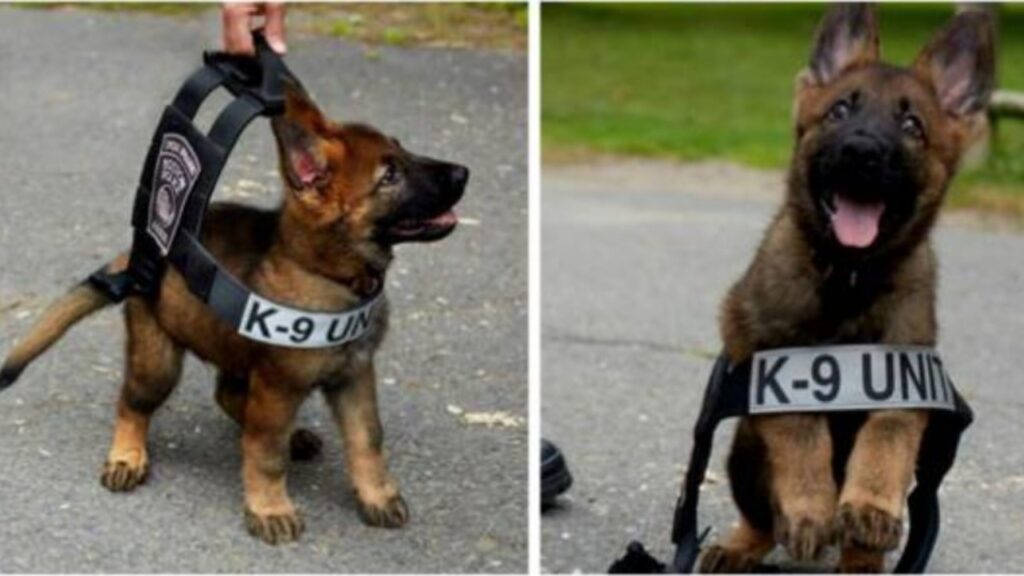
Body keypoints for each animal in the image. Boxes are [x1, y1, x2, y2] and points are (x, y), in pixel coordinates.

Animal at [0, 81, 468, 541]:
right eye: (389, 176)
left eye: (403, 151)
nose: (463, 172)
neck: (327, 274)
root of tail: (136, 256)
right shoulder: (278, 386)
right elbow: (265, 453)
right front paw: (270, 508)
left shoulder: (354, 375)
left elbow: (367, 439)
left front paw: (377, 495)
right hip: (159, 360)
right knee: (134, 402)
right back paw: (127, 455)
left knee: (228, 395)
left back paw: (290, 436)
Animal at [700, 3, 995, 569]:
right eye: (839, 111)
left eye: (911, 125)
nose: (862, 151)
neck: (849, 277)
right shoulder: (765, 349)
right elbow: (800, 428)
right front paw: (811, 506)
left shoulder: (906, 372)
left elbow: (887, 436)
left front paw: (870, 505)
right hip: (744, 451)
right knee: (762, 519)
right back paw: (743, 545)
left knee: (859, 545)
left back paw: (861, 560)